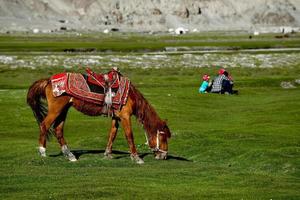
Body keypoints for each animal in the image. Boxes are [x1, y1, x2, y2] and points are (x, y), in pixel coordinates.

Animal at [26, 75, 171, 164]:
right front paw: (136, 158)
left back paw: (70, 155)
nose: (164, 156)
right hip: (56, 110)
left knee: (58, 129)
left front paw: (108, 154)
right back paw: (42, 152)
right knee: (44, 125)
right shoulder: (125, 116)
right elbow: (129, 136)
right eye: (163, 137)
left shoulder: (116, 117)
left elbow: (112, 134)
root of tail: (49, 80)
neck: (130, 96)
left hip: (64, 109)